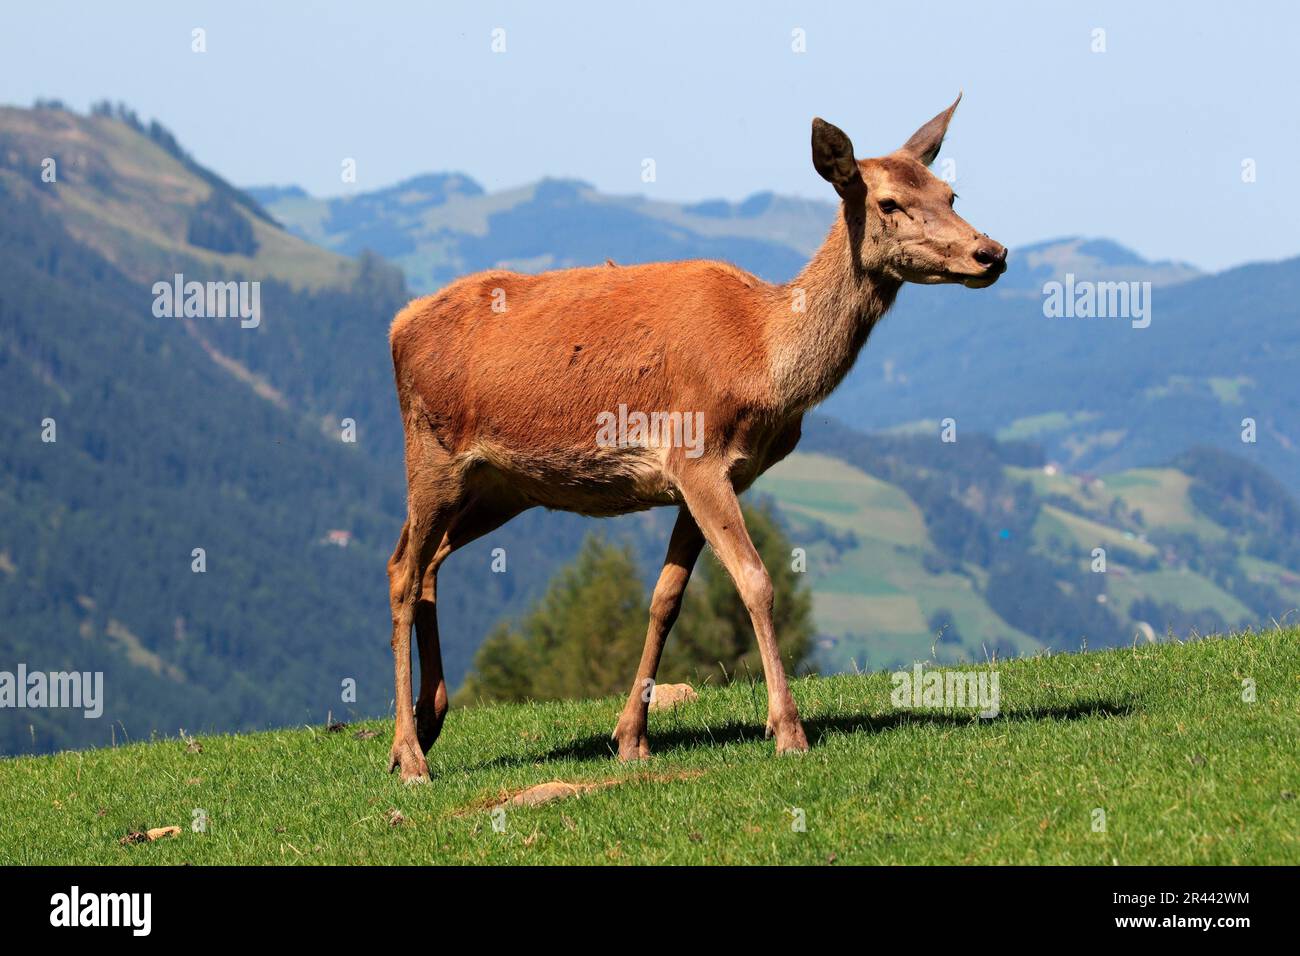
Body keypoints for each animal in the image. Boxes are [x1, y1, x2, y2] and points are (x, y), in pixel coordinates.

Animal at [382, 95, 1003, 785]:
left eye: (950, 193)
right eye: (889, 202)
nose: (991, 252)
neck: (762, 359)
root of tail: (398, 324)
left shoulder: (705, 477)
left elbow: (666, 599)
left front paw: (631, 737)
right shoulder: (698, 455)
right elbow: (756, 581)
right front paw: (788, 731)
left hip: (500, 487)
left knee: (426, 560)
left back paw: (426, 724)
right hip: (431, 452)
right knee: (402, 570)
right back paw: (411, 756)